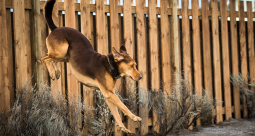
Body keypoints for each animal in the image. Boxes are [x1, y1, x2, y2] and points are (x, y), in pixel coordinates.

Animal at [42, 0, 142, 134]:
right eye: (131, 66)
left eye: (135, 65)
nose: (141, 77)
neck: (110, 66)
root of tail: (55, 28)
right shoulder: (110, 94)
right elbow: (124, 107)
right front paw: (135, 117)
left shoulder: (108, 96)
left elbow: (116, 114)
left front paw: (123, 128)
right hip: (61, 51)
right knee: (45, 58)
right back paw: (52, 73)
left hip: (65, 56)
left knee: (52, 59)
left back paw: (56, 71)